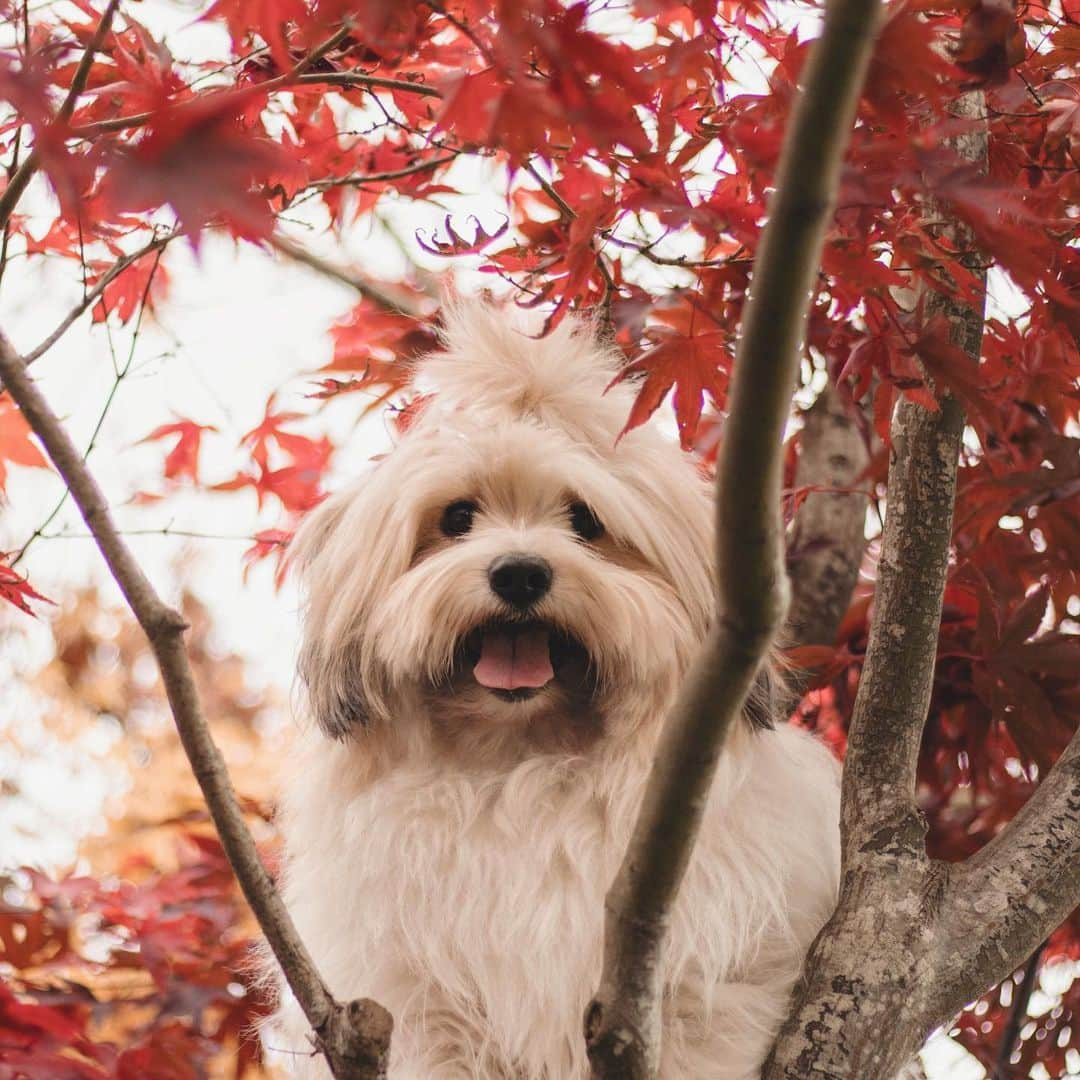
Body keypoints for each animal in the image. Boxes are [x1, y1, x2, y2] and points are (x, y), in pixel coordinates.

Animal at [270, 304, 842, 1080]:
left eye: (585, 521)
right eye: (456, 518)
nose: (519, 573)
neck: (519, 767)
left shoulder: (715, 978)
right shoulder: (417, 996)